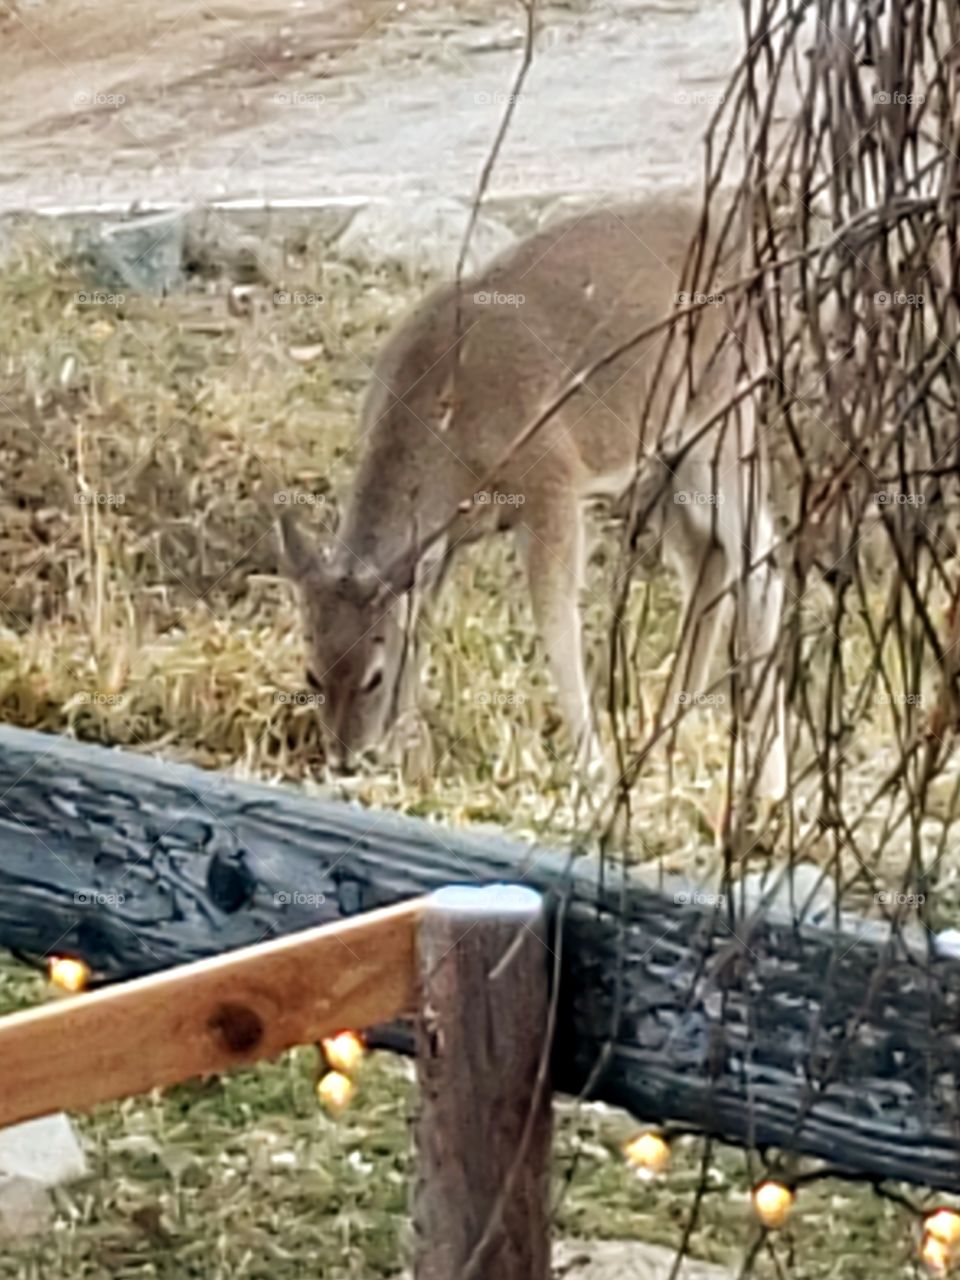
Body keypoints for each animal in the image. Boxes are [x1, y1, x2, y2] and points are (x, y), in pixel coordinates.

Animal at [275, 195, 789, 798]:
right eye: (311, 671)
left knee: (763, 563)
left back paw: (770, 784)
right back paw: (660, 738)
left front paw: (592, 770)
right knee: (709, 561)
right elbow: (420, 624)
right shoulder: (442, 542)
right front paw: (404, 756)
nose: (345, 757)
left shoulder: (552, 481)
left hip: (725, 414)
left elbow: (556, 622)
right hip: (664, 458)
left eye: (373, 677)